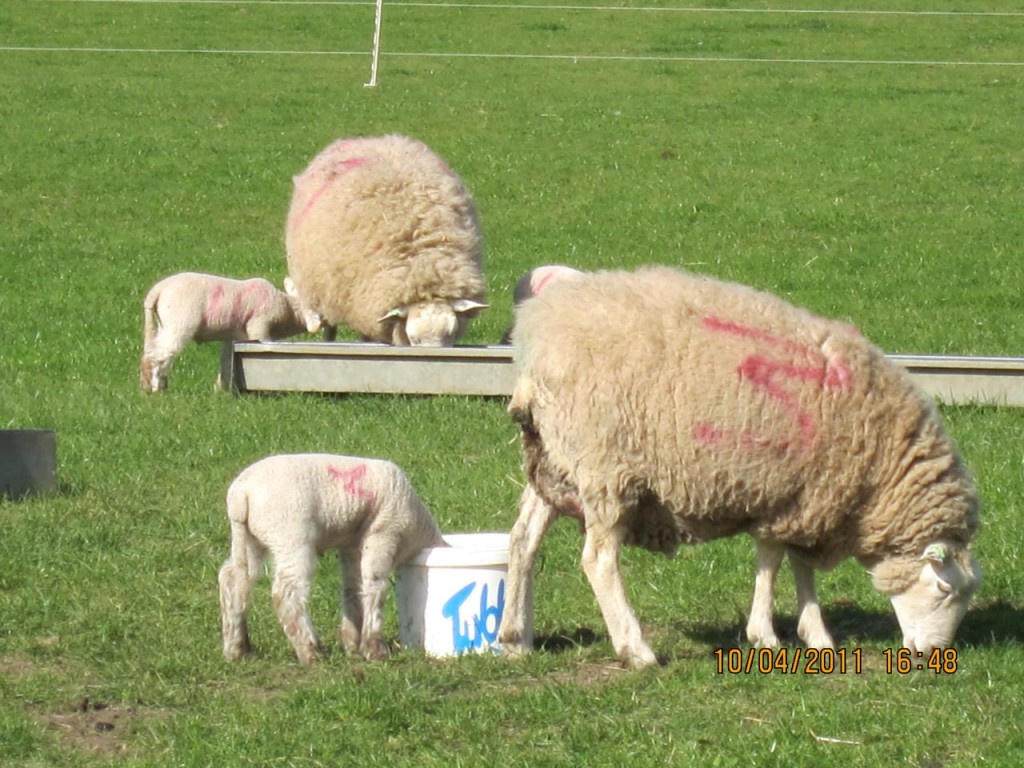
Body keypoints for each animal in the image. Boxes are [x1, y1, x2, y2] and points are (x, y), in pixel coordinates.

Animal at [138, 272, 317, 393]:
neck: (288, 309)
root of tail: (157, 290)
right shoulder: (259, 326)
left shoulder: (233, 337)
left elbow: (226, 361)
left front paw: (221, 389)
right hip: (179, 322)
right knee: (158, 354)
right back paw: (153, 388)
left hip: (165, 323)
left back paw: (159, 385)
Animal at [218, 454, 446, 663]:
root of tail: (241, 494)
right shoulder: (384, 533)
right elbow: (375, 588)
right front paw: (374, 649)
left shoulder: (352, 545)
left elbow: (353, 588)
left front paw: (353, 643)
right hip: (290, 536)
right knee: (286, 592)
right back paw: (311, 652)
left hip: (249, 538)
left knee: (232, 579)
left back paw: (237, 648)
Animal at [282, 134, 485, 346]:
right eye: (414, 339)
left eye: (451, 334)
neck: (422, 262)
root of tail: (367, 139)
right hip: (324, 289)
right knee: (329, 325)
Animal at [499, 268, 978, 671]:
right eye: (944, 589)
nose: (935, 655)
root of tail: (534, 346)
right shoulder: (796, 494)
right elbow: (775, 560)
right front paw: (769, 634)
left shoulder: (799, 498)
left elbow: (790, 562)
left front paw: (812, 633)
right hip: (606, 468)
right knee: (598, 559)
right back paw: (637, 650)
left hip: (557, 463)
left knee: (523, 540)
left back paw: (515, 638)